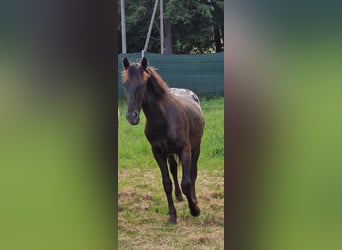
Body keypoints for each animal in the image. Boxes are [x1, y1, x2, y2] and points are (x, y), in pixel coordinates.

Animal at [121, 57, 204, 224]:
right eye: (125, 84)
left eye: (143, 84)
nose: (131, 116)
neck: (163, 118)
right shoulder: (158, 153)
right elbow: (166, 183)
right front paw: (172, 215)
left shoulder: (185, 151)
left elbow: (187, 182)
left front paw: (195, 209)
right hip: (170, 153)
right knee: (173, 169)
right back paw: (179, 196)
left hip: (196, 148)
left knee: (193, 173)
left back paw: (193, 199)